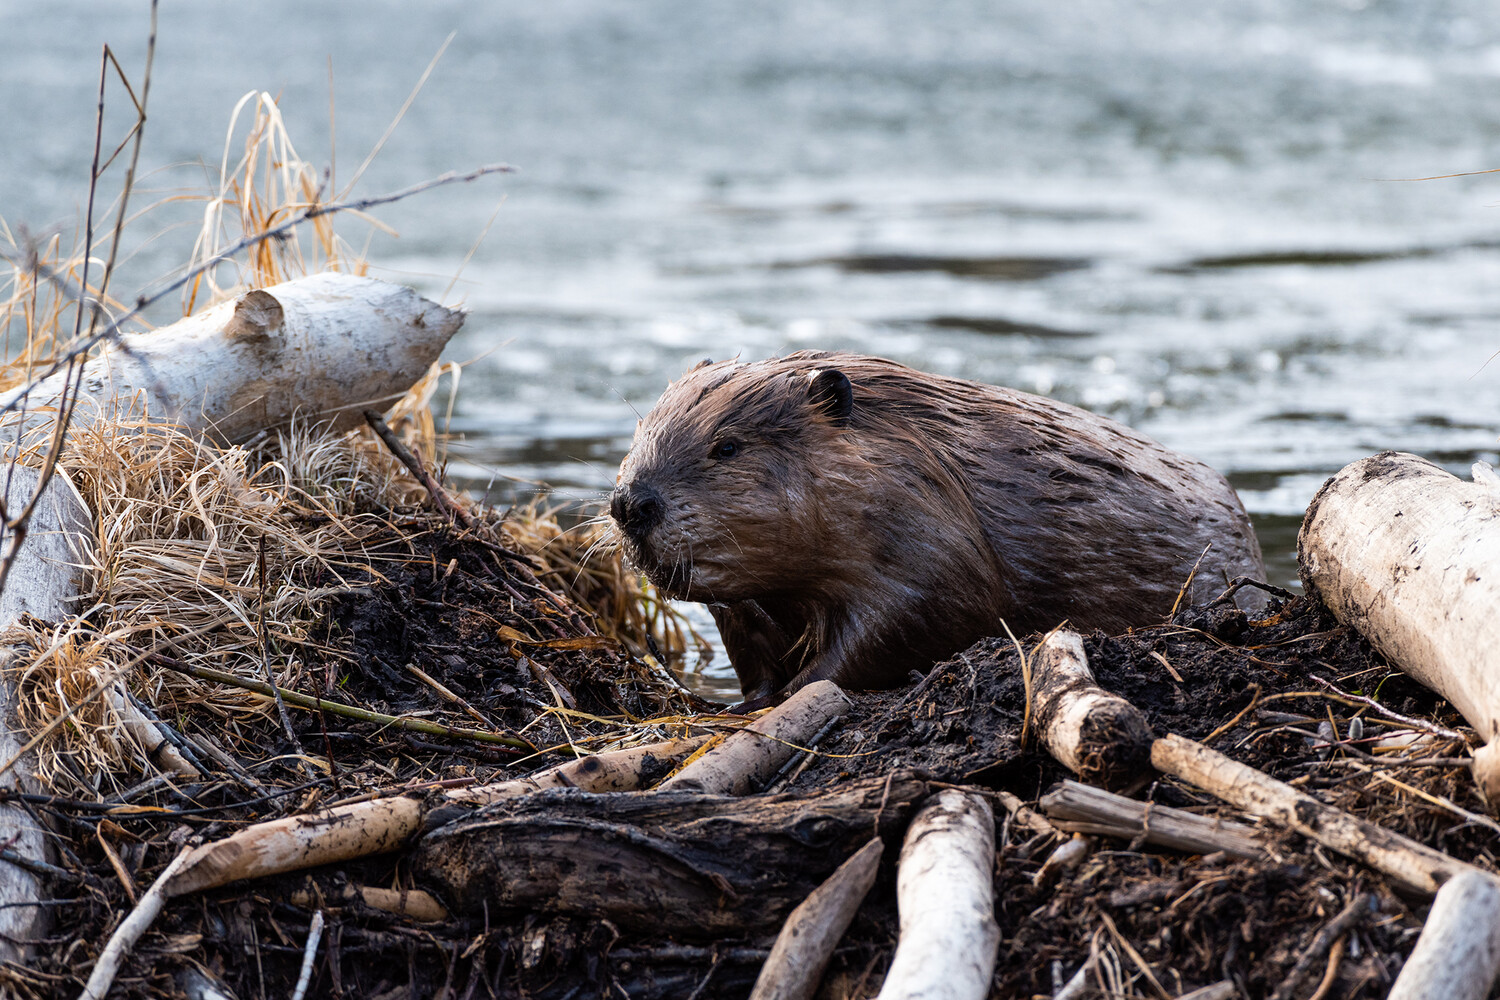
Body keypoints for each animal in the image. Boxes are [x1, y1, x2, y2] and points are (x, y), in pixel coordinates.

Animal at [609, 355, 1266, 707]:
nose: (629, 504)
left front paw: (798, 691)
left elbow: (911, 619)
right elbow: (747, 639)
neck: (920, 456)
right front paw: (753, 699)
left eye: (727, 445)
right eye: (641, 431)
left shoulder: (930, 542)